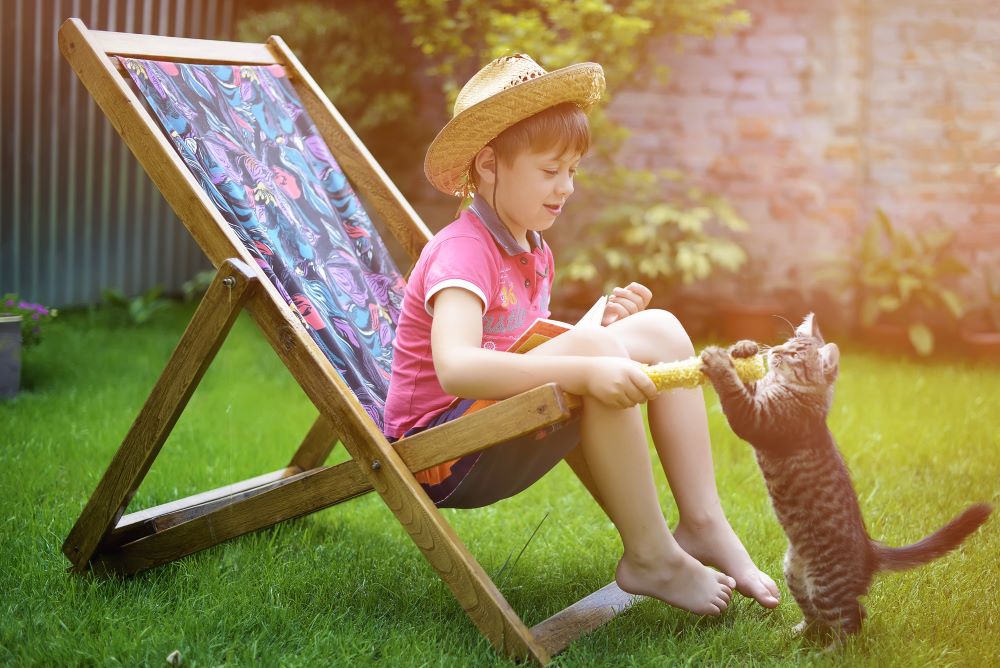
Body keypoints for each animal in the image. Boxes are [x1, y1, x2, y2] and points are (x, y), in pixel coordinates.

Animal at [700, 316, 988, 644]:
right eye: (786, 343)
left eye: (795, 354)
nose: (775, 351)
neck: (798, 393)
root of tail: (869, 551)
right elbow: (747, 384)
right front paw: (744, 349)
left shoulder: (761, 419)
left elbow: (735, 396)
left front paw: (719, 362)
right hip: (795, 575)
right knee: (820, 616)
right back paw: (797, 633)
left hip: (827, 585)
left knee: (852, 621)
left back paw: (831, 650)